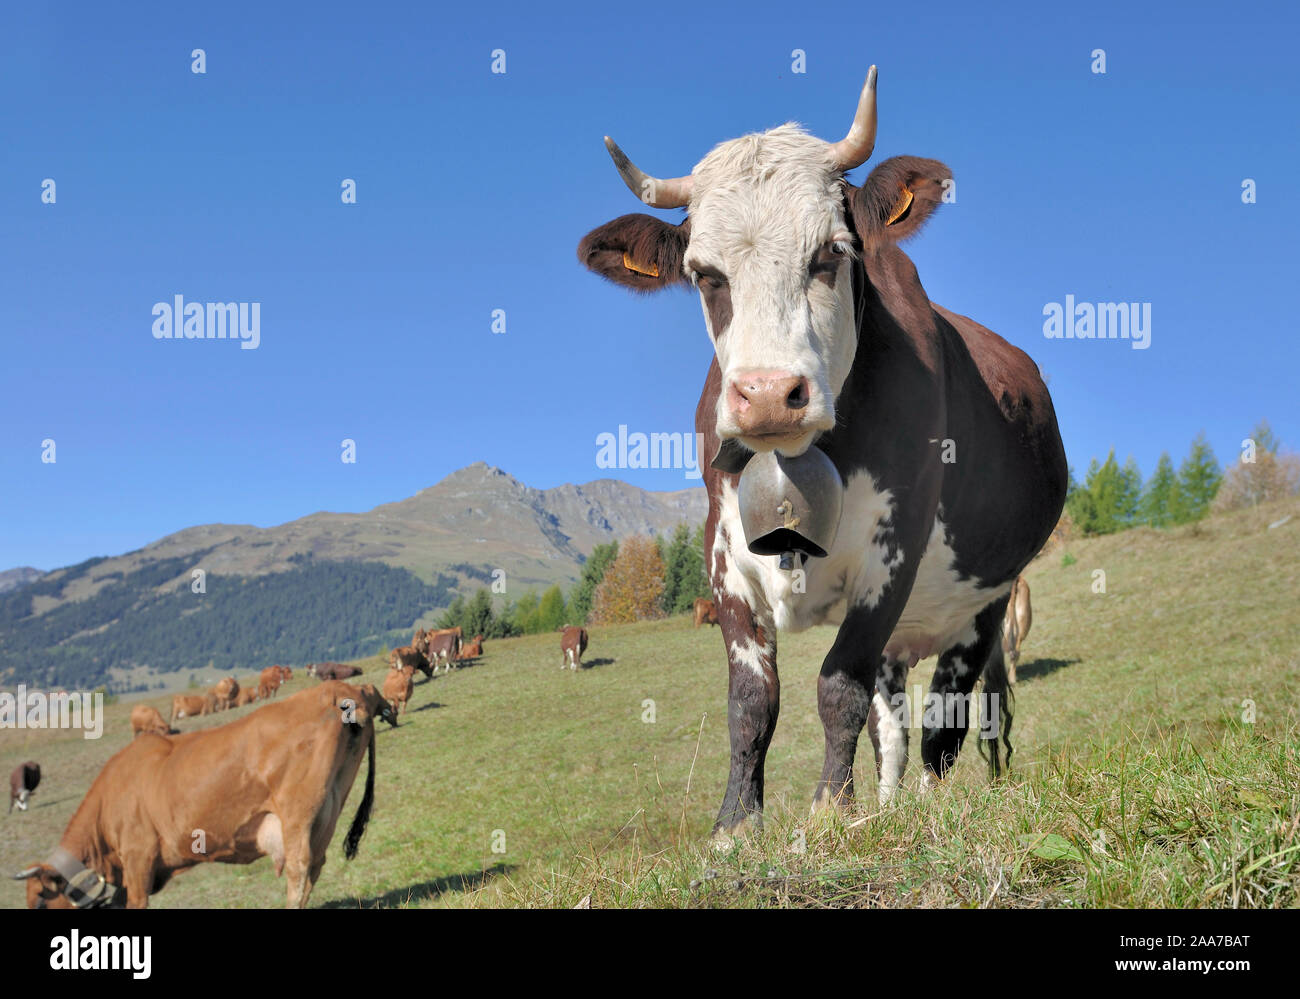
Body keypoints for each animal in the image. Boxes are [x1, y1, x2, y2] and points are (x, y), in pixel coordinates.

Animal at [12, 681, 395, 910]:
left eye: (40, 901)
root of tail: (340, 687)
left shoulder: (137, 858)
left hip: (298, 813)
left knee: (298, 868)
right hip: (329, 807)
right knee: (315, 865)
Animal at [579, 66, 1066, 842]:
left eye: (831, 252)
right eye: (705, 274)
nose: (769, 395)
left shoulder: (891, 555)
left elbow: (839, 685)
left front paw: (831, 810)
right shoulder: (724, 556)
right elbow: (752, 698)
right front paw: (735, 826)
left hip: (986, 601)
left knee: (946, 723)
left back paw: (926, 808)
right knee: (893, 728)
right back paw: (889, 805)